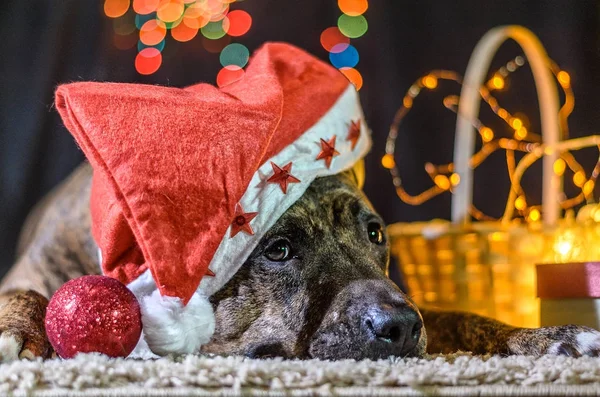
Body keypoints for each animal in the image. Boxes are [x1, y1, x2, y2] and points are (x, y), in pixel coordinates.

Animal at [1, 162, 600, 360]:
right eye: (278, 249)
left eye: (375, 233)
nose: (401, 326)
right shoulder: (31, 271)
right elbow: (24, 293)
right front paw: (15, 332)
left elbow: (461, 316)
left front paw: (547, 337)